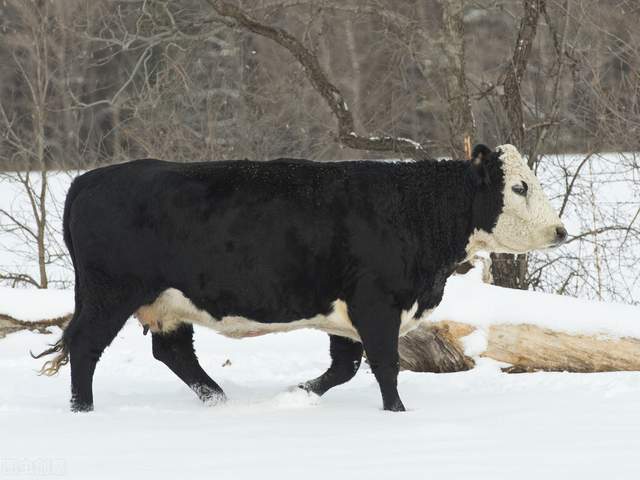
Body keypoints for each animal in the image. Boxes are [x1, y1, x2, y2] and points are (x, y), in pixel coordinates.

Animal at [35, 144, 564, 410]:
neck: (412, 208)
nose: (560, 230)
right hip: (108, 295)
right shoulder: (376, 302)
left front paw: (298, 395)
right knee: (85, 346)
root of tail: (89, 178)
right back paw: (82, 409)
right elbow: (385, 365)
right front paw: (397, 413)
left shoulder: (347, 312)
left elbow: (345, 367)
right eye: (520, 187)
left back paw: (220, 402)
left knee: (173, 353)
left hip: (164, 303)